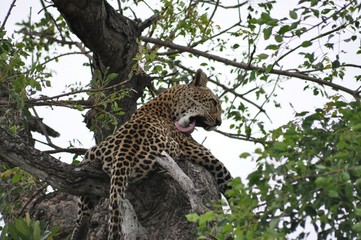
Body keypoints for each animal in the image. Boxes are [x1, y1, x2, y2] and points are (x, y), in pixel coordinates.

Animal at [71, 69, 232, 240]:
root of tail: (123, 152)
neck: (167, 105)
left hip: (90, 155)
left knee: (83, 211)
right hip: (170, 149)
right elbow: (227, 179)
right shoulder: (200, 152)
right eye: (213, 103)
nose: (219, 122)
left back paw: (79, 231)